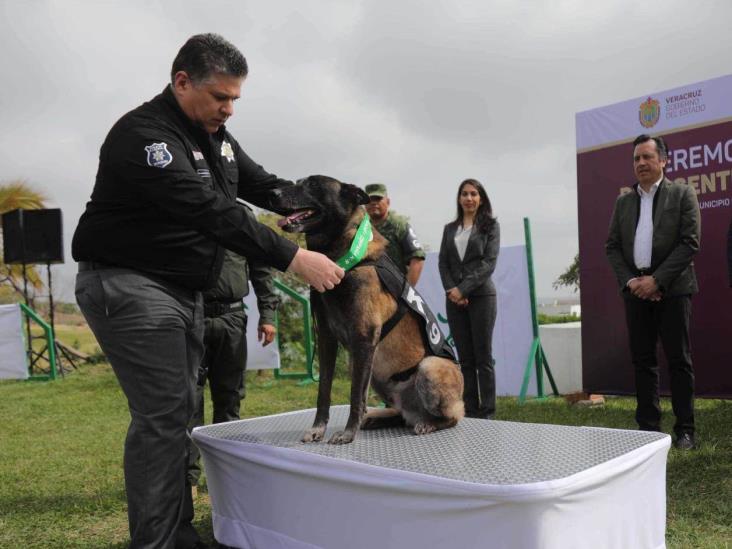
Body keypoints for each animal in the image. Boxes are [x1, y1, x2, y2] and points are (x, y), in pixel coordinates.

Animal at [268, 178, 464, 444]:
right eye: (297, 183)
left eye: (313, 185)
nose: (272, 193)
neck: (344, 258)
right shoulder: (328, 340)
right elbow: (324, 391)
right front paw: (318, 428)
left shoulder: (363, 337)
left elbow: (355, 396)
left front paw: (348, 433)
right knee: (401, 414)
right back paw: (379, 418)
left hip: (428, 367)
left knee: (453, 416)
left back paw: (428, 423)